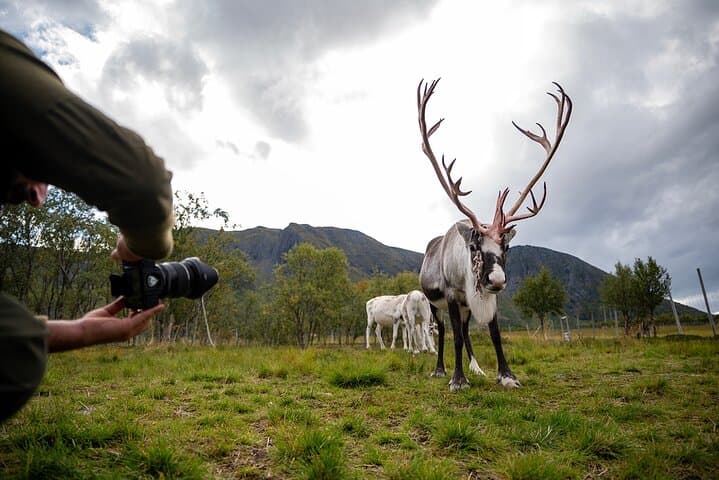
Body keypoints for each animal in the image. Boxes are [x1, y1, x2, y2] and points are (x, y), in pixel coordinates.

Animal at [417, 78, 572, 391]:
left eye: (506, 247)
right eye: (474, 246)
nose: (497, 279)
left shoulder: (487, 298)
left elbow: (495, 334)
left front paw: (507, 375)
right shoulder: (452, 295)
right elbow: (455, 337)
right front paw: (457, 379)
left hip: (466, 306)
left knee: (465, 330)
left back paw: (476, 368)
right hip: (434, 303)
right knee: (445, 331)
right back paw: (440, 369)